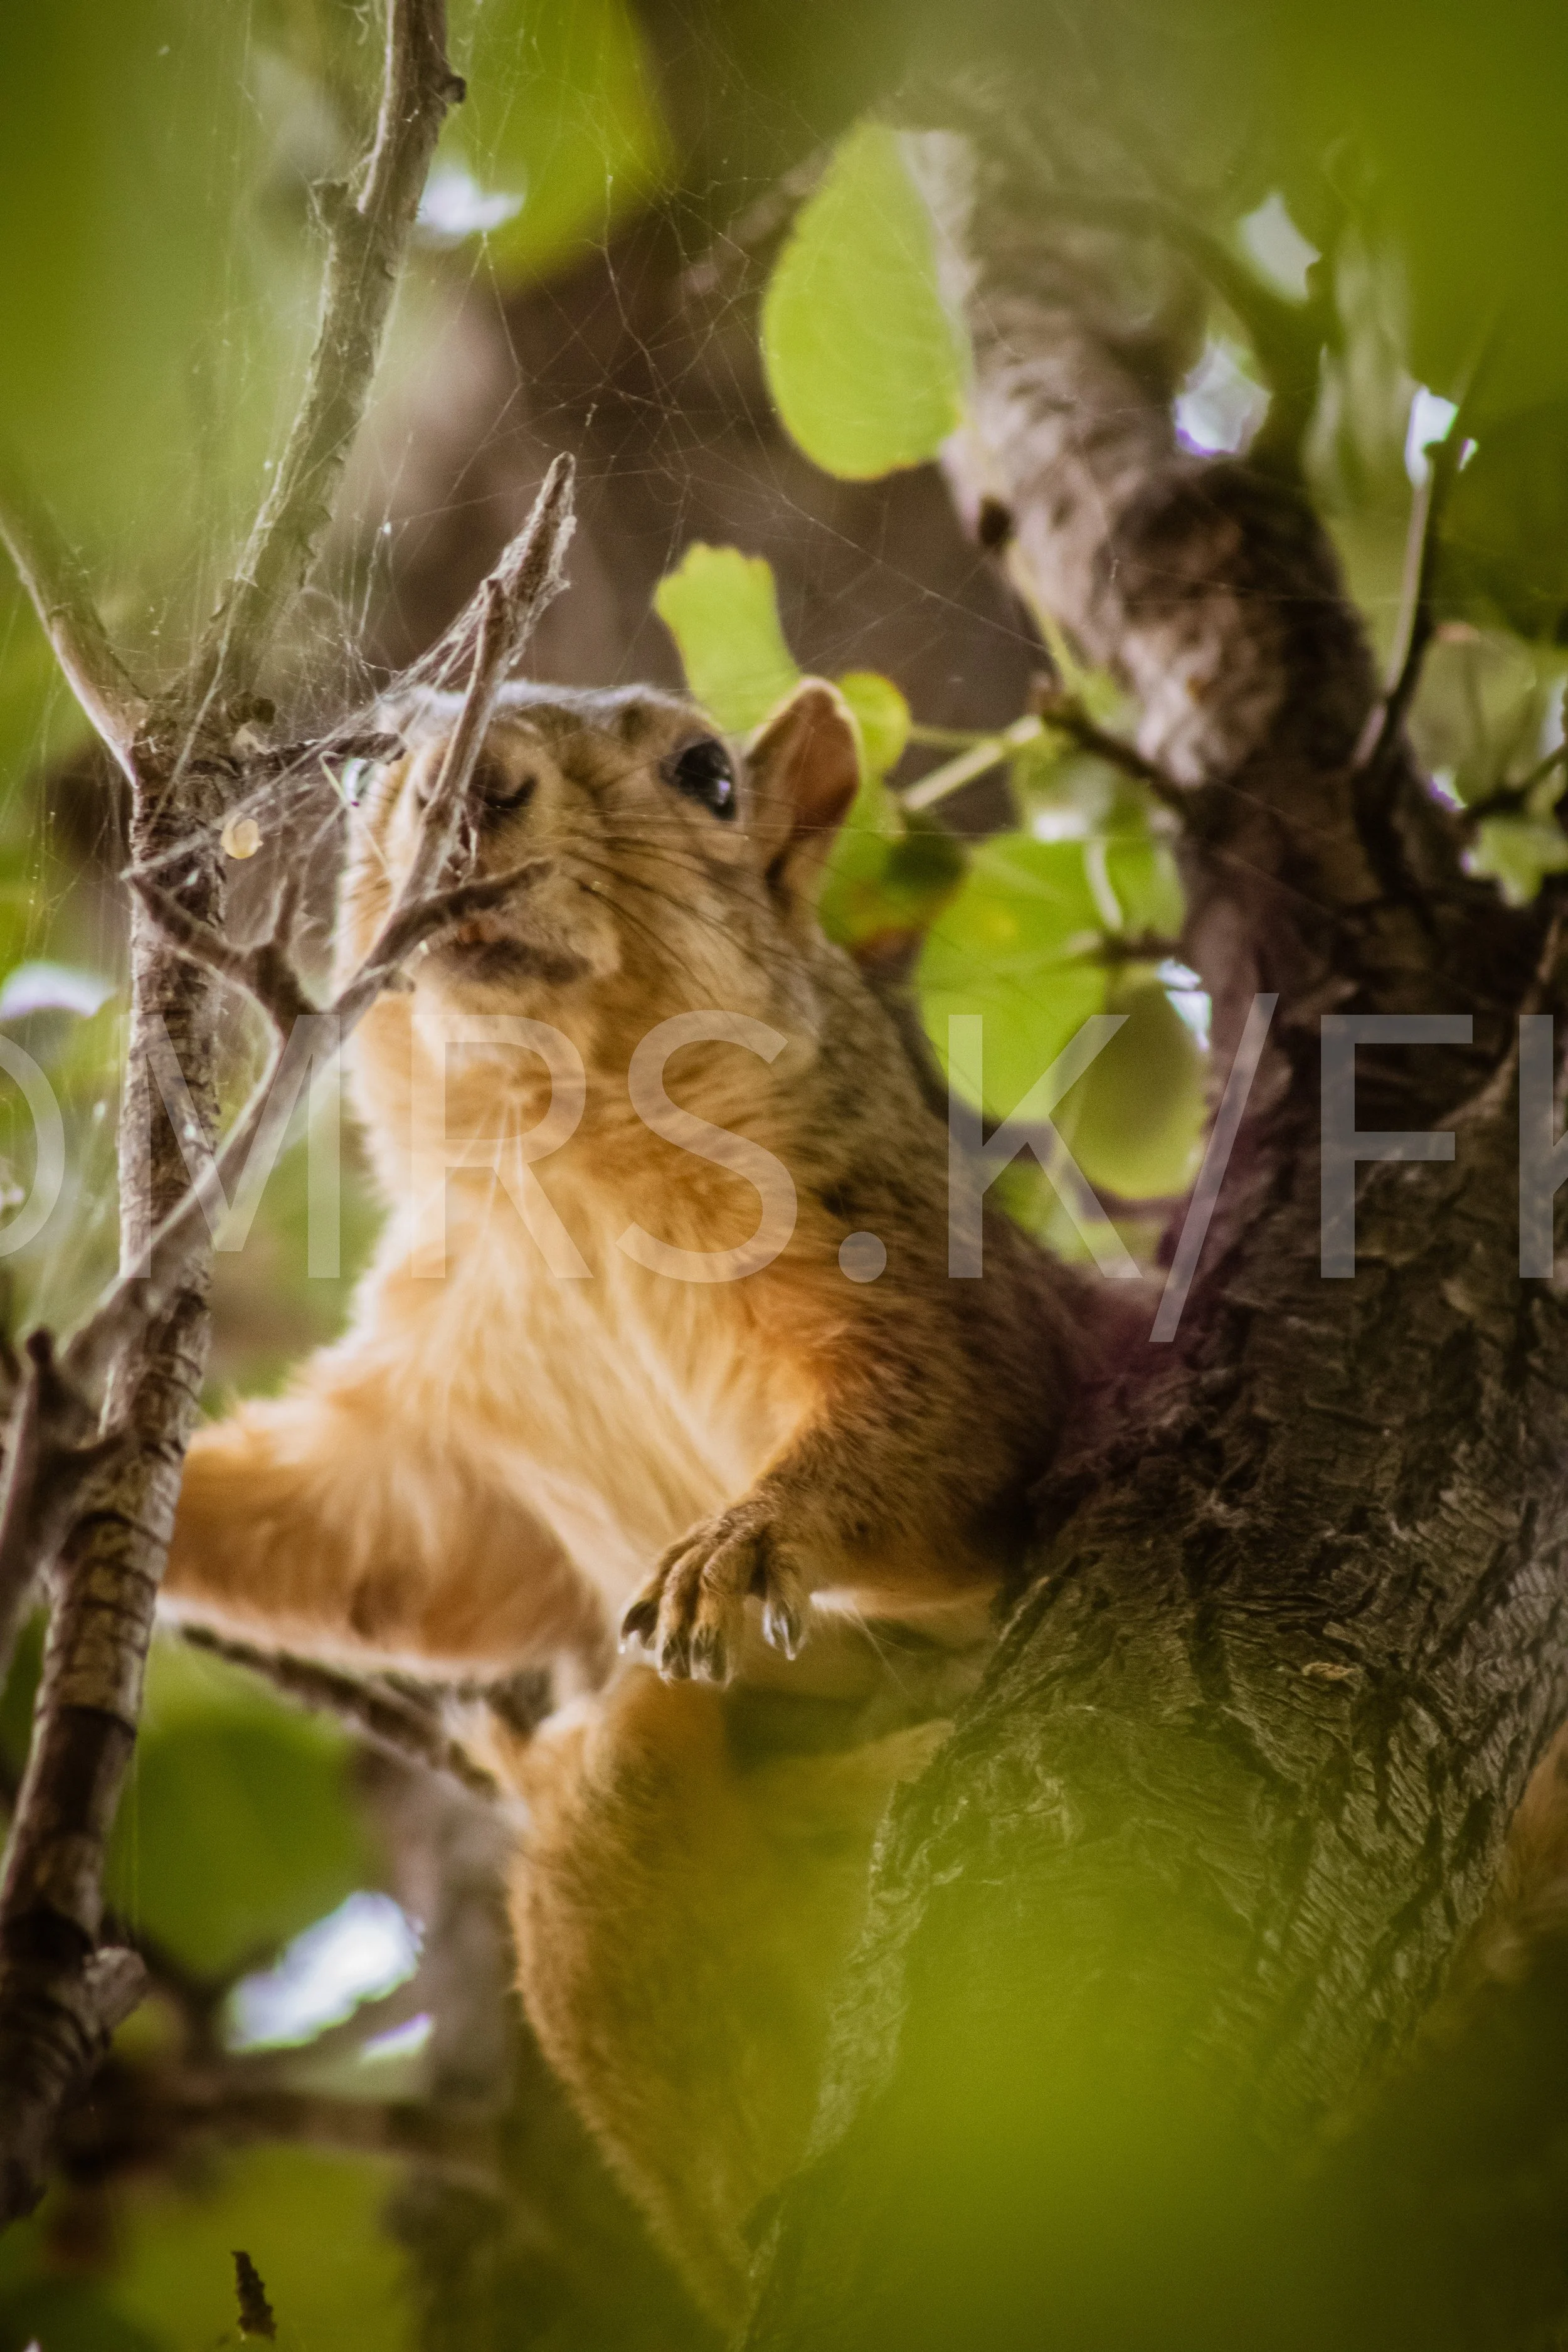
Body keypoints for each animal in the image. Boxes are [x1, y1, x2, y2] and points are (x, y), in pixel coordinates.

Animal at [159, 676, 1098, 2323]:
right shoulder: (449, 1414)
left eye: (708, 774)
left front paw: (745, 1538)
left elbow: (949, 1416)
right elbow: (362, 1542)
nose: (467, 780)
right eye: (389, 754)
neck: (568, 1165)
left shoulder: (922, 1274)